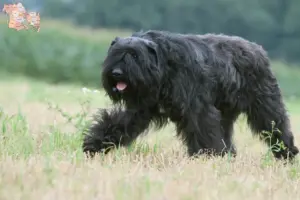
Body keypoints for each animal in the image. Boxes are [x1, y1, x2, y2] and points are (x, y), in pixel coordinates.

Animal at [81, 29, 298, 160]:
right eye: (115, 54)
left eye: (135, 56)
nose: (117, 73)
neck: (165, 66)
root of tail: (258, 49)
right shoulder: (140, 108)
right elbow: (117, 122)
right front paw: (94, 143)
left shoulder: (197, 109)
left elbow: (202, 129)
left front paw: (208, 156)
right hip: (226, 113)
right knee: (226, 134)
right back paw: (228, 156)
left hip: (265, 105)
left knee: (276, 125)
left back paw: (286, 153)